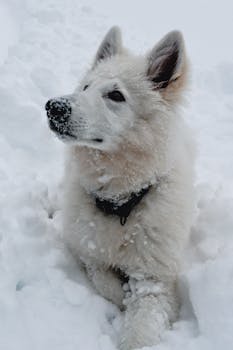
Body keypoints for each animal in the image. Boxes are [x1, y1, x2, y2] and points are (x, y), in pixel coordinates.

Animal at [45, 27, 195, 350]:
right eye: (85, 87)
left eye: (116, 95)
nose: (54, 107)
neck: (121, 201)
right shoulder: (89, 252)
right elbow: (104, 281)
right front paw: (123, 297)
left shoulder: (155, 280)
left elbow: (141, 331)